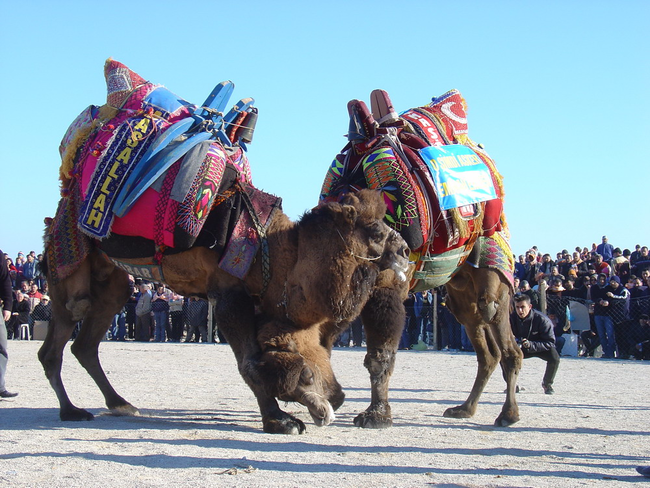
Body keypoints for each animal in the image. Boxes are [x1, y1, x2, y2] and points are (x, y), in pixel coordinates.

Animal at [318, 88, 520, 428]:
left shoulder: (387, 289)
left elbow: (379, 355)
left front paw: (376, 415)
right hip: (459, 291)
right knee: (485, 348)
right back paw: (465, 409)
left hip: (493, 264)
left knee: (500, 330)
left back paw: (508, 414)